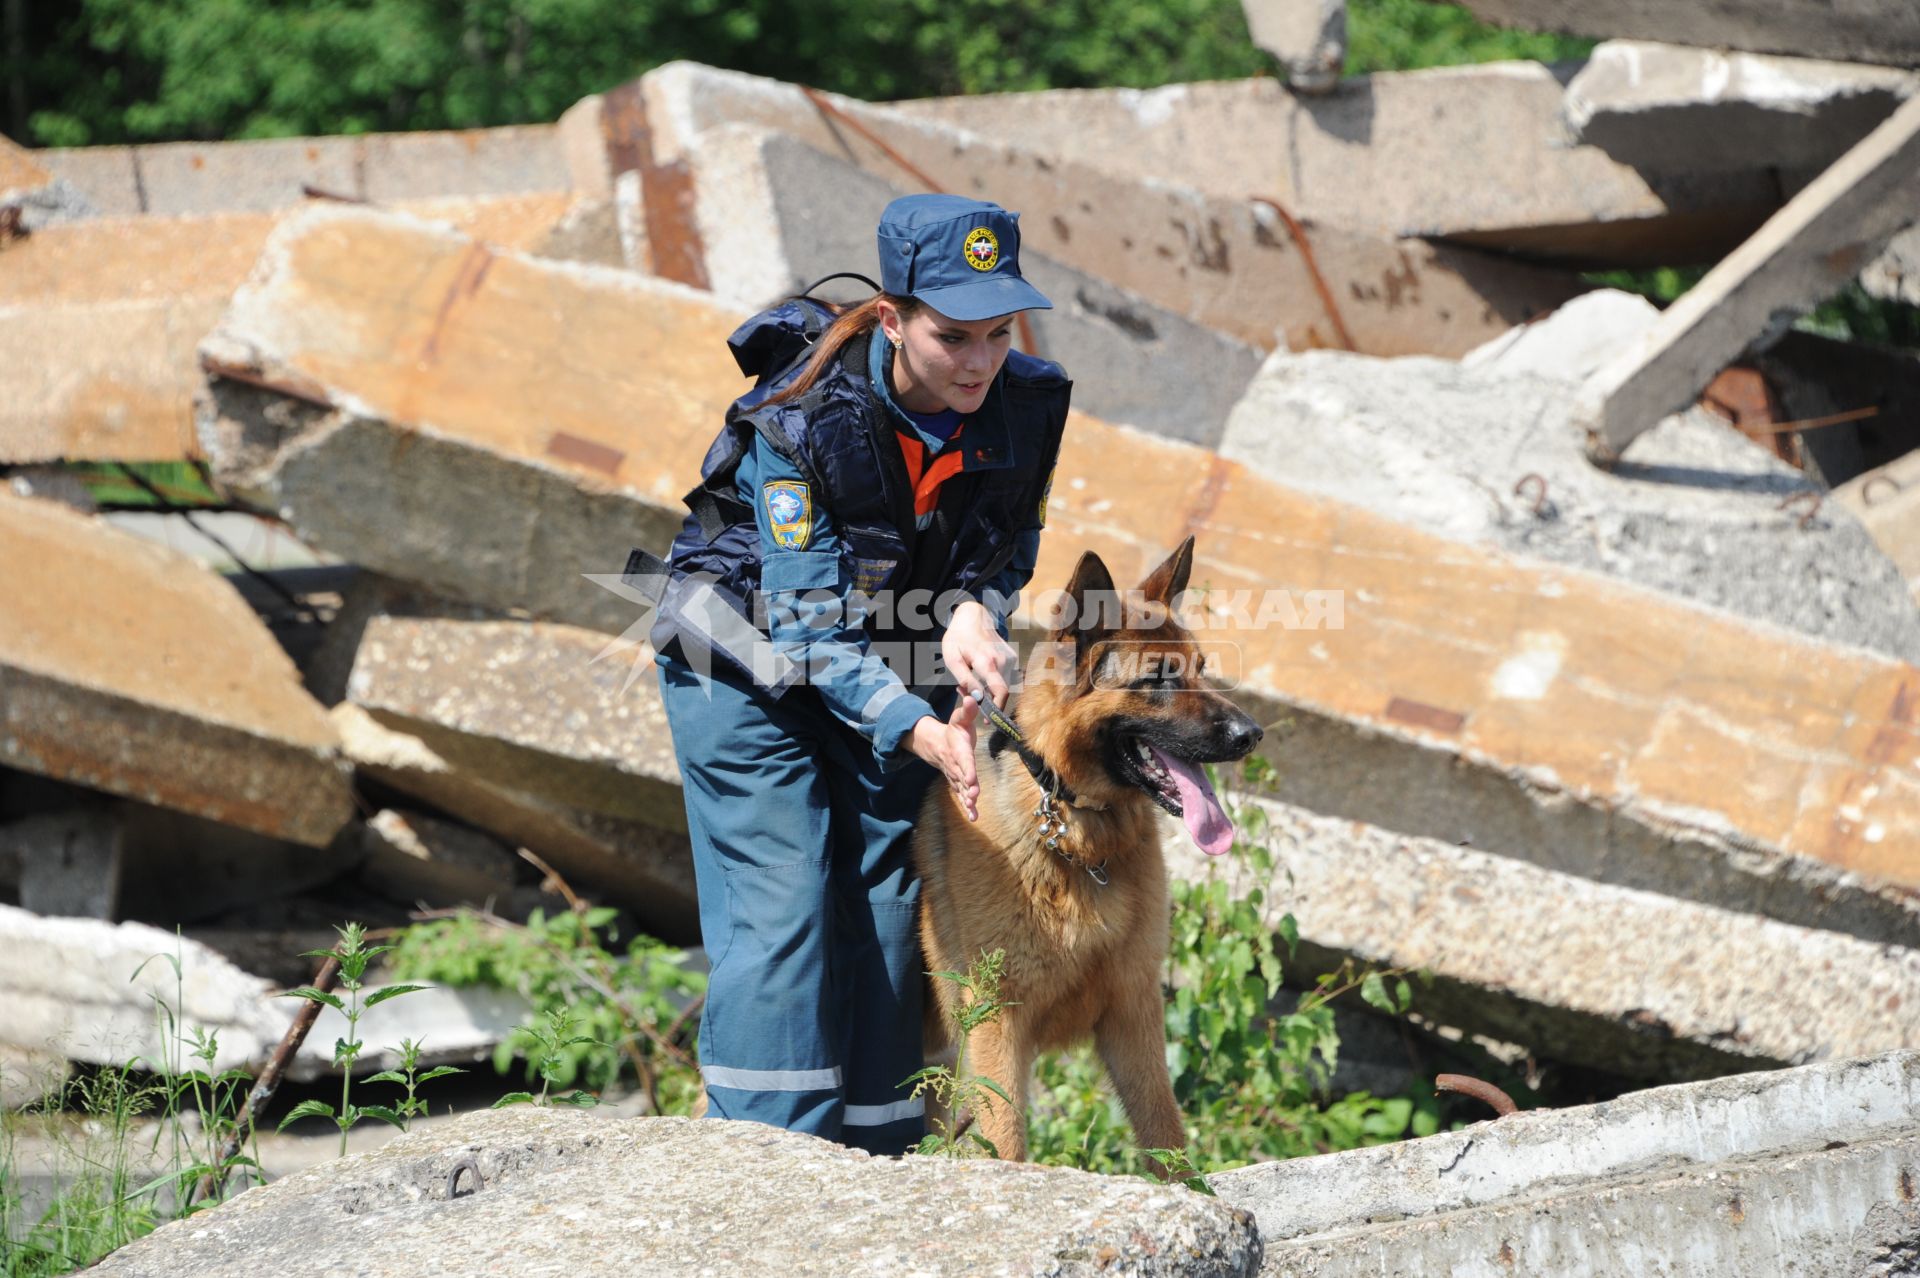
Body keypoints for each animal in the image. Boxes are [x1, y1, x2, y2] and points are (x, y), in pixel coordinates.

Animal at [910, 533, 1259, 1159]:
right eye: (1159, 679)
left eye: (1201, 669)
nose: (1253, 735)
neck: (1074, 833)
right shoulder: (998, 1028)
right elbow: (1007, 1141)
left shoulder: (1133, 1013)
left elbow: (1166, 1136)